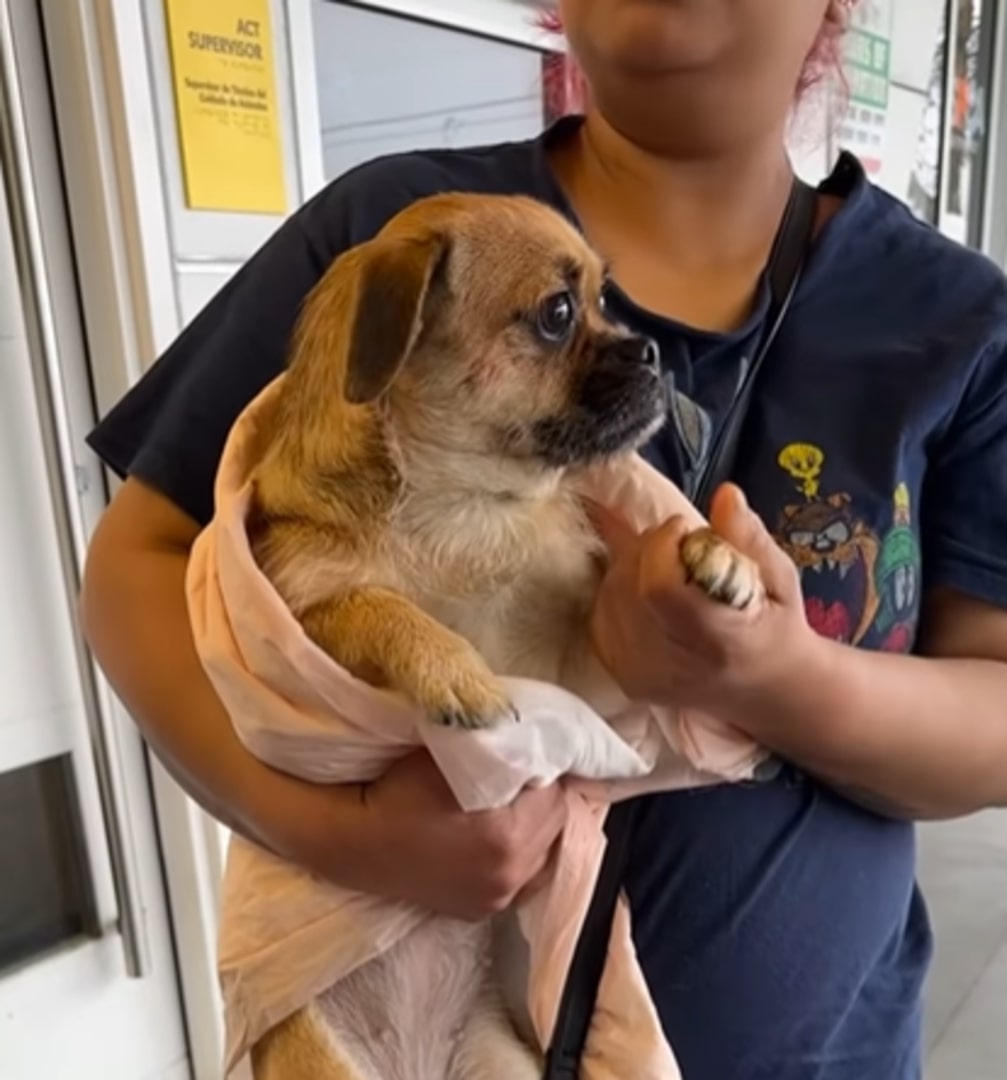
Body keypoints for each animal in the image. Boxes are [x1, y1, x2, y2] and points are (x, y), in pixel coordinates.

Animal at [246, 196, 764, 1080]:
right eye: (558, 314)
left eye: (605, 299)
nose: (651, 348)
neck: (466, 513)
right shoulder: (300, 623)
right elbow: (370, 605)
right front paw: (453, 670)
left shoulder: (584, 675)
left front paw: (711, 551)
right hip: (322, 1059)